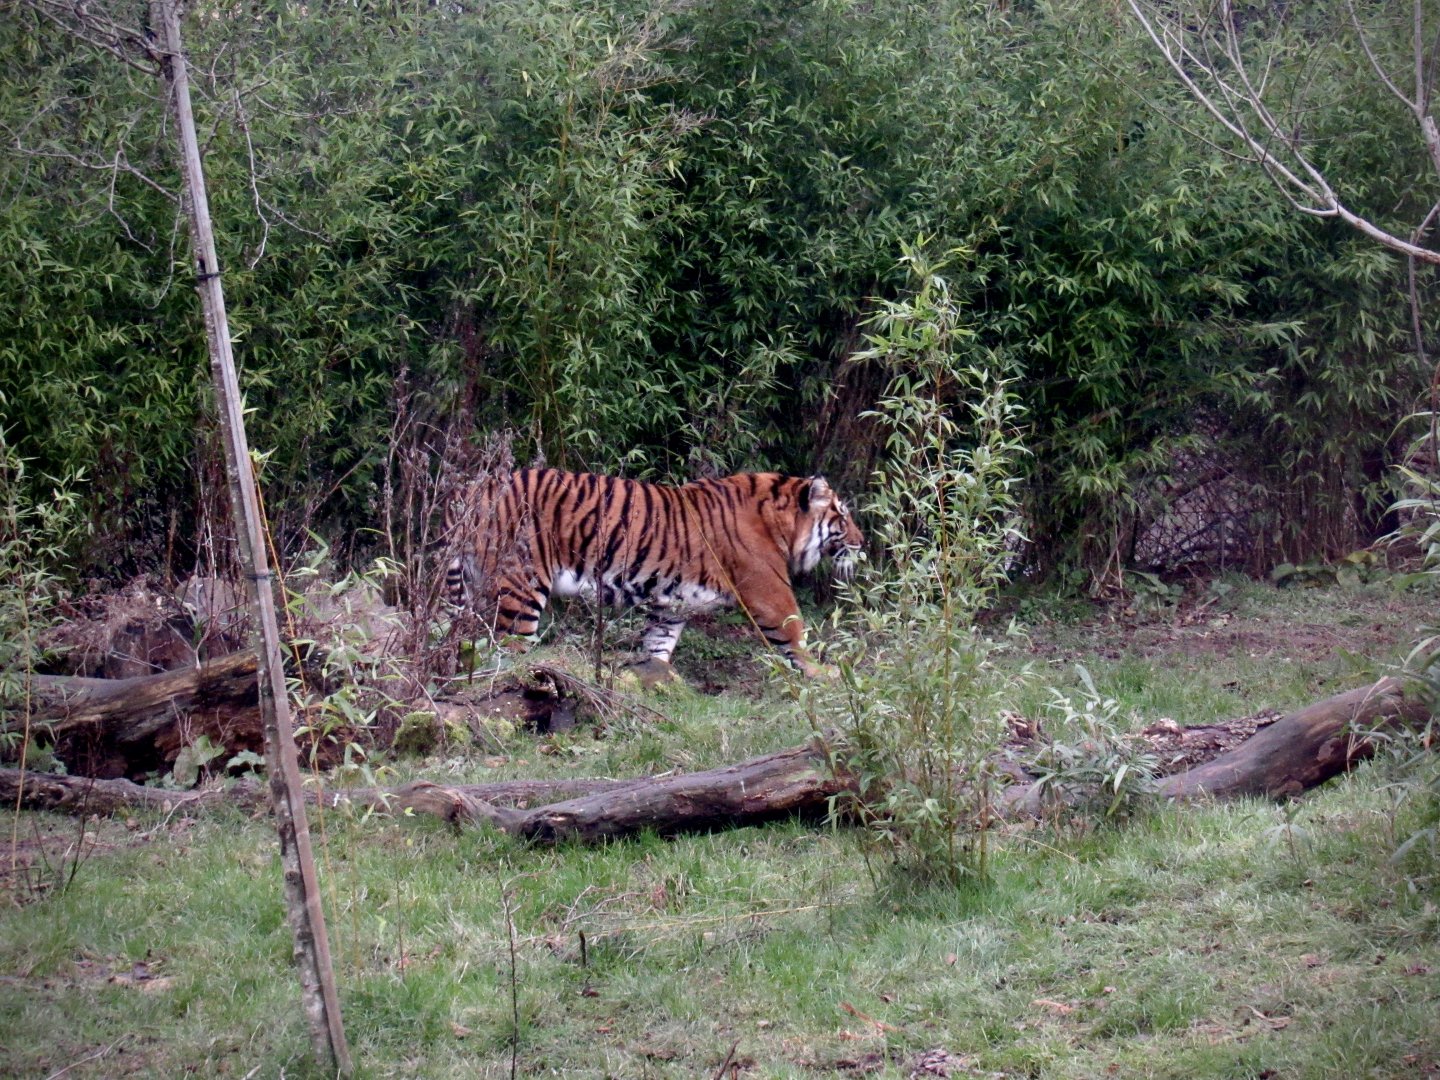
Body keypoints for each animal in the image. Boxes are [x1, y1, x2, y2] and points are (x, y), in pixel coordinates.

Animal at [444, 467, 864, 678]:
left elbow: (658, 647)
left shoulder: (670, 606)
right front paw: (826, 675)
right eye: (842, 516)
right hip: (521, 587)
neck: (784, 525)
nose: (862, 543)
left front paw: (657, 681)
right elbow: (795, 635)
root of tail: (475, 488)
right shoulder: (769, 591)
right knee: (507, 652)